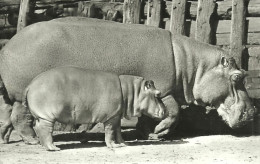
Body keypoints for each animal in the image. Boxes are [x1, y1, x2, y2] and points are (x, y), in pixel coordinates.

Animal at [22, 66, 165, 151]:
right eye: (157, 94)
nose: (167, 111)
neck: (132, 90)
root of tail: (30, 84)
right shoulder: (110, 117)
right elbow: (110, 132)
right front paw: (113, 146)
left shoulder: (116, 116)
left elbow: (118, 131)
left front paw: (123, 144)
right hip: (46, 116)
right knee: (45, 130)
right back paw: (54, 148)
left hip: (41, 116)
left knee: (39, 128)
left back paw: (45, 146)